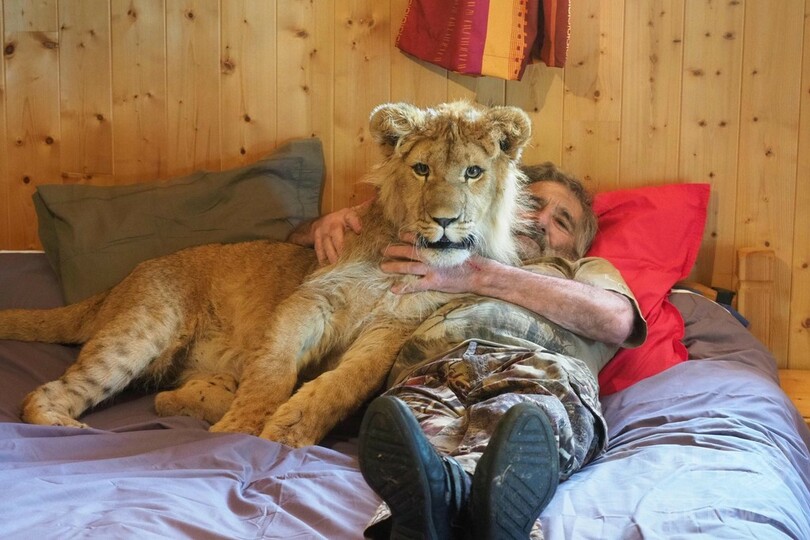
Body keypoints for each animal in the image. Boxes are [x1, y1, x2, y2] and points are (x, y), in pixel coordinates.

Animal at [0, 101, 533, 447]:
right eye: (421, 169)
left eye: (473, 173)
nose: (444, 219)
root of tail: (121, 282)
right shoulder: (312, 299)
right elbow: (272, 367)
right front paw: (241, 433)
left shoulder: (391, 330)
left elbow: (346, 383)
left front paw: (292, 429)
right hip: (141, 331)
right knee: (43, 393)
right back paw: (67, 429)